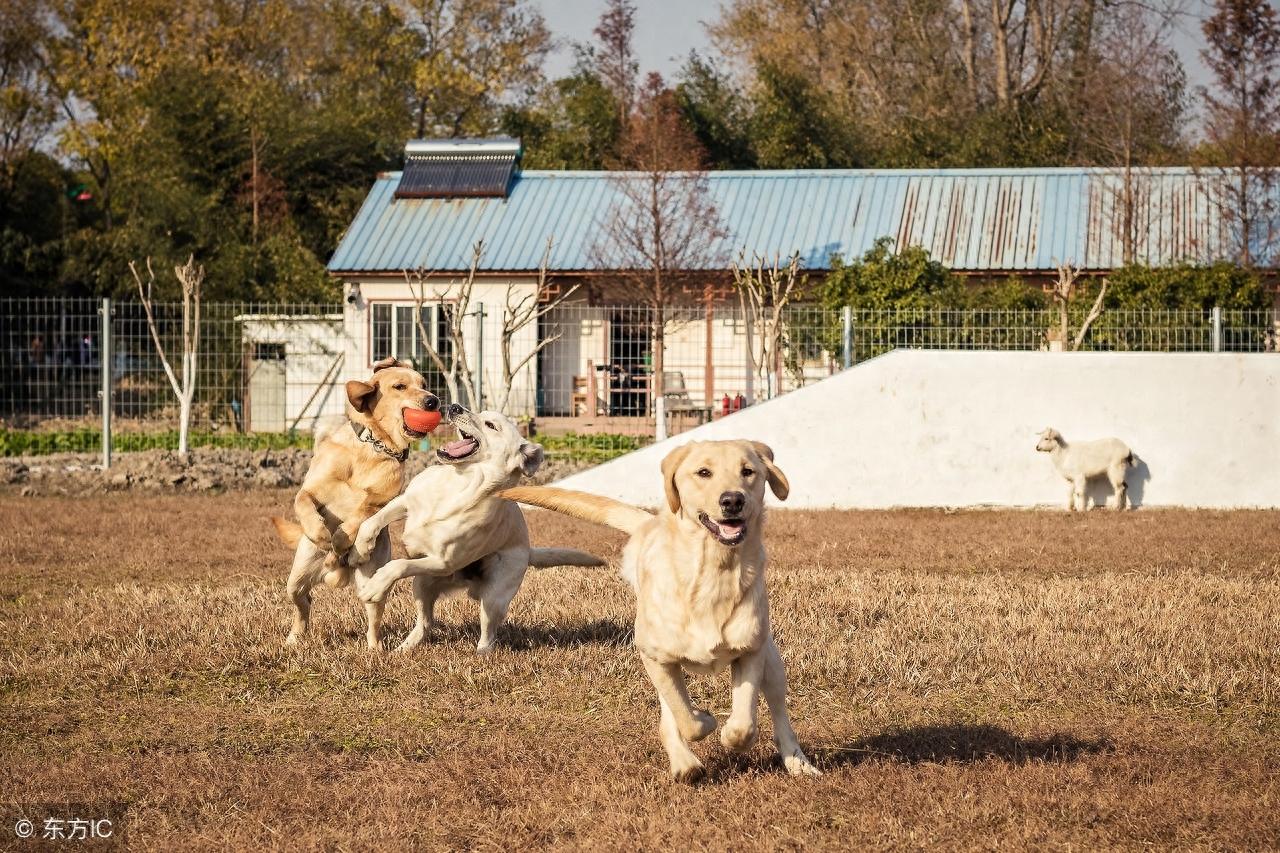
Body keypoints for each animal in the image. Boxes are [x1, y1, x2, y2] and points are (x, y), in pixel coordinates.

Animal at [499, 438, 819, 778]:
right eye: (703, 472)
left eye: (748, 471)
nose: (732, 500)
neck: (712, 572)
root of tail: (648, 523)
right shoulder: (656, 659)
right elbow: (687, 720)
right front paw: (704, 719)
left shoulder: (749, 652)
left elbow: (743, 726)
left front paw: (730, 733)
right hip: (659, 661)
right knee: (671, 712)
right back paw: (684, 762)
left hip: (772, 660)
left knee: (779, 713)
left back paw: (797, 761)